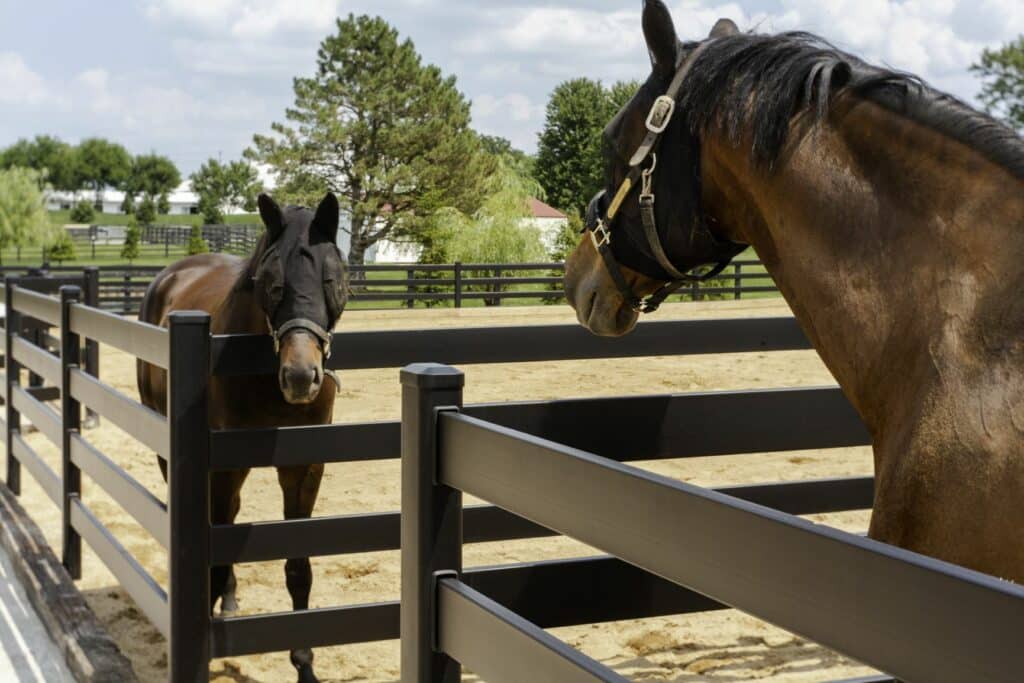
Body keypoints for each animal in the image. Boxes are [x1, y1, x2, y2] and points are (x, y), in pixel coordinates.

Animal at [136, 192, 348, 683]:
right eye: (270, 283)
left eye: (331, 277)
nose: (300, 376)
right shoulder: (223, 465)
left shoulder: (304, 468)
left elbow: (298, 566)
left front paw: (304, 665)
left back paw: (230, 599)